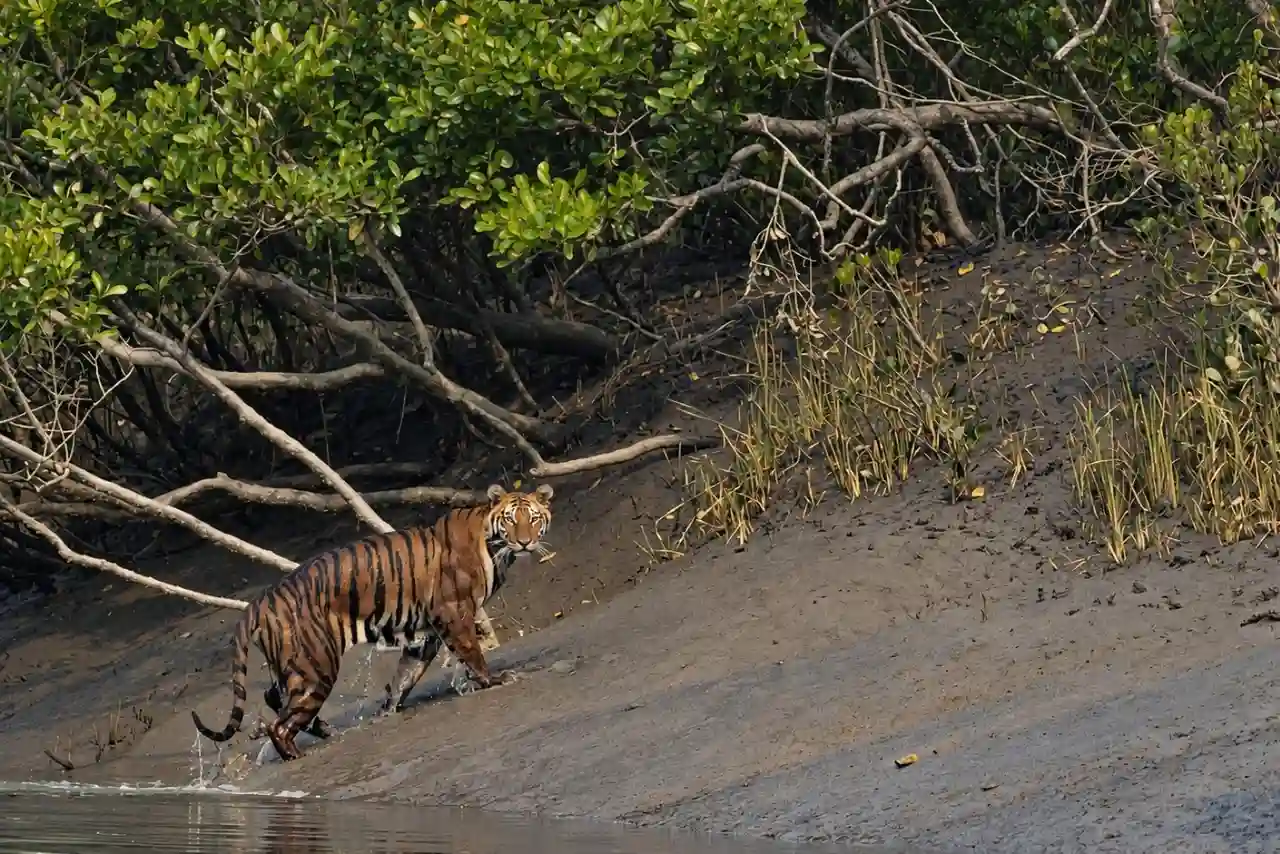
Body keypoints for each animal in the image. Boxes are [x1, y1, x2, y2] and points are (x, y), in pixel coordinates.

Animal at [191, 483, 554, 762]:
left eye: (534, 518)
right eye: (511, 520)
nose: (525, 542)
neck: (494, 545)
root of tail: (259, 600)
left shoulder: (427, 632)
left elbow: (406, 674)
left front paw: (387, 709)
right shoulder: (453, 612)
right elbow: (472, 653)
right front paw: (494, 680)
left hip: (290, 663)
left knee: (274, 697)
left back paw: (324, 730)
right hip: (315, 664)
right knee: (279, 722)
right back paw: (297, 753)